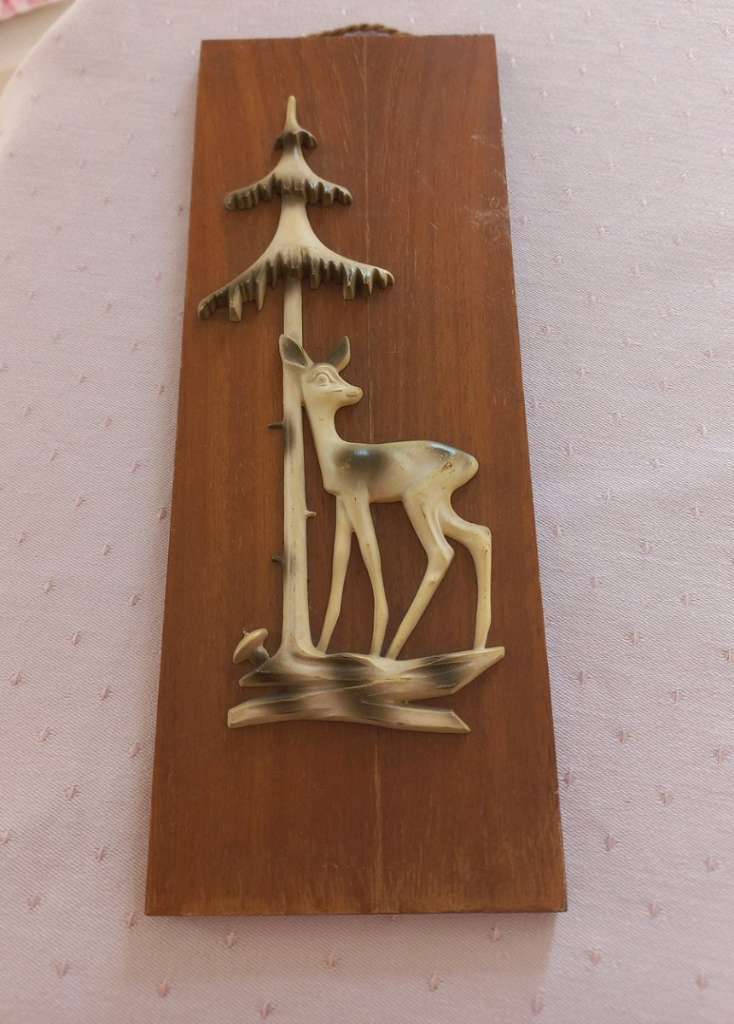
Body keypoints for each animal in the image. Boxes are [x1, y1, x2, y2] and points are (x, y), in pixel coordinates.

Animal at [280, 334, 493, 660]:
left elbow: (371, 551)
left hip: (417, 498)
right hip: (440, 503)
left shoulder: (358, 497)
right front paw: (322, 649)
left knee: (442, 551)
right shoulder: (342, 502)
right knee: (480, 535)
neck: (336, 454)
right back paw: (478, 645)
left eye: (337, 373)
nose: (354, 391)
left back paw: (391, 653)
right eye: (323, 377)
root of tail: (470, 461)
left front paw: (372, 648)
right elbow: (340, 557)